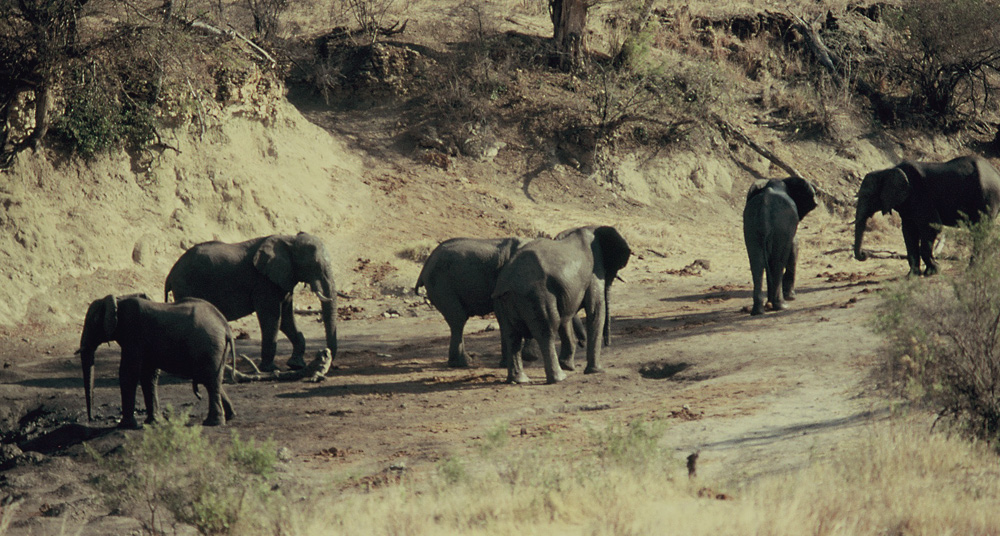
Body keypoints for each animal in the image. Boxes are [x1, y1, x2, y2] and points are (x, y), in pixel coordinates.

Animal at [77, 294, 237, 428]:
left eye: (93, 322)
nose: (91, 419)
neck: (118, 300)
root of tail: (225, 327)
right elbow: (148, 376)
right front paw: (154, 422)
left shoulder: (133, 335)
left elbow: (128, 374)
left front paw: (126, 426)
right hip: (216, 349)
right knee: (212, 380)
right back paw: (229, 416)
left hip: (209, 345)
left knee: (210, 380)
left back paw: (213, 423)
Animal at [414, 239, 584, 368]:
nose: (583, 342)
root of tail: (424, 268)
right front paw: (526, 358)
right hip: (442, 285)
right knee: (458, 320)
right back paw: (464, 363)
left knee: (456, 322)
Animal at [490, 224, 628, 384]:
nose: (608, 343)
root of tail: (508, 283)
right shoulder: (594, 269)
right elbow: (595, 310)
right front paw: (596, 371)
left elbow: (567, 317)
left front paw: (568, 366)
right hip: (538, 296)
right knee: (547, 330)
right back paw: (559, 378)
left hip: (502, 302)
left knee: (511, 335)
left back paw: (520, 380)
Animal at [744, 178, 820, 316]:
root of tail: (764, 209)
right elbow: (794, 244)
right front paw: (791, 297)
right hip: (780, 226)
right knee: (778, 263)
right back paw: (782, 306)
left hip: (751, 226)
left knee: (757, 264)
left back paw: (758, 311)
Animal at [852, 154, 1000, 272]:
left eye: (867, 196)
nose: (865, 253)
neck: (886, 171)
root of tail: (995, 171)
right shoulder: (907, 203)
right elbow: (909, 232)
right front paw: (912, 275)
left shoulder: (921, 195)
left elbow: (931, 227)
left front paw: (933, 271)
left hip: (988, 196)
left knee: (981, 230)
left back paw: (973, 269)